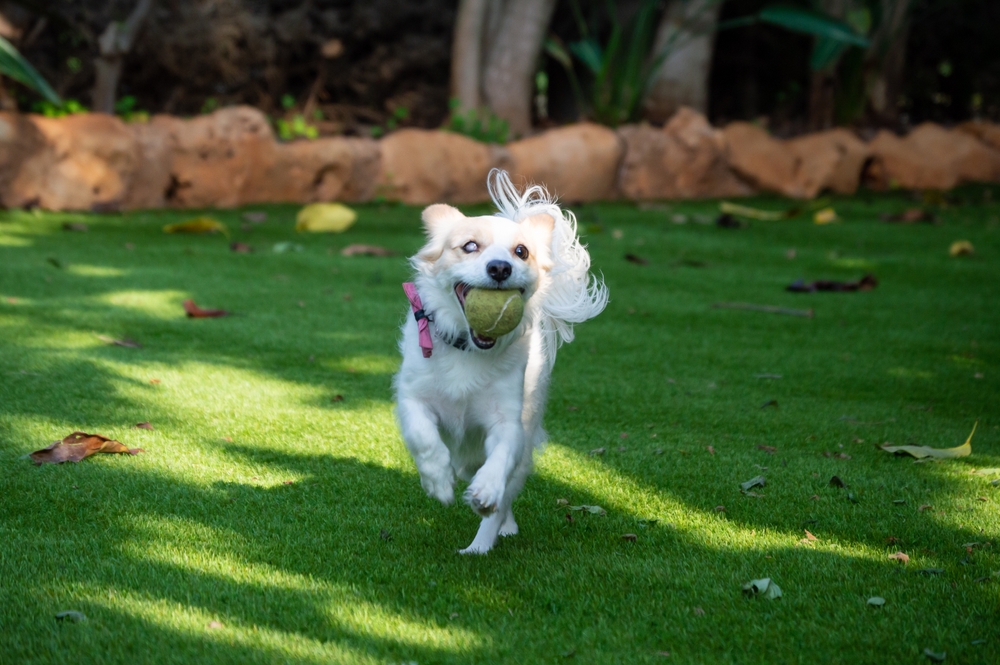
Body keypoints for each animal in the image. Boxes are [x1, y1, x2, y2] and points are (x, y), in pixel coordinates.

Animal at [394, 169, 604, 552]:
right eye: (469, 246)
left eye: (521, 252)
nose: (500, 268)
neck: (470, 349)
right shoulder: (412, 397)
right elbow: (424, 437)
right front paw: (438, 482)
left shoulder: (508, 420)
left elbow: (501, 456)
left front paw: (486, 490)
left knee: (502, 495)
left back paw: (480, 545)